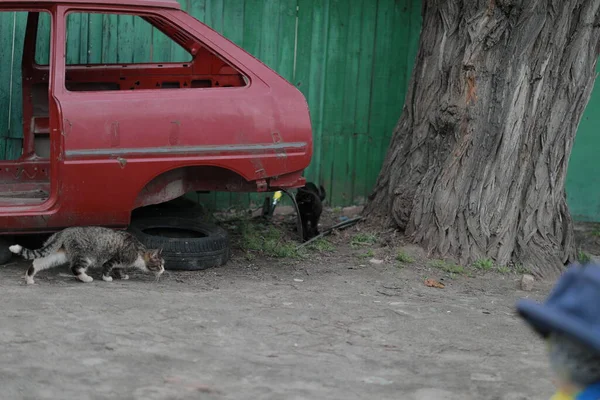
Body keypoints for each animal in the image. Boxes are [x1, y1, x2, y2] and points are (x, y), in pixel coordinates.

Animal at [9, 225, 164, 284]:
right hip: (84, 255)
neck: (139, 251)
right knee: (75, 268)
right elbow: (107, 268)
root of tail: (64, 231)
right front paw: (107, 278)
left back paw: (29, 278)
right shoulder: (113, 259)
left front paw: (123, 275)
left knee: (38, 262)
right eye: (159, 265)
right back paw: (85, 278)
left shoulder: (120, 262)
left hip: (58, 254)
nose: (163, 270)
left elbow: (119, 269)